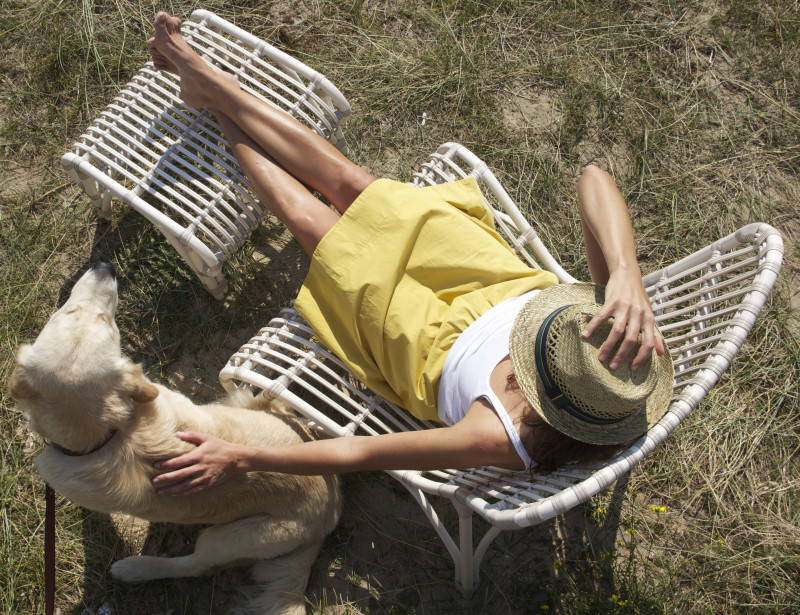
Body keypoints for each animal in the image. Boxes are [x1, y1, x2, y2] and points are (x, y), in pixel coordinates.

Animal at [9, 264, 342, 615]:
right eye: (70, 312)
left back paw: (136, 568)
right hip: (252, 407)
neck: (112, 432)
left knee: (198, 566)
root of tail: (332, 510)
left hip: (227, 538)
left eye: (106, 323)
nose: (105, 268)